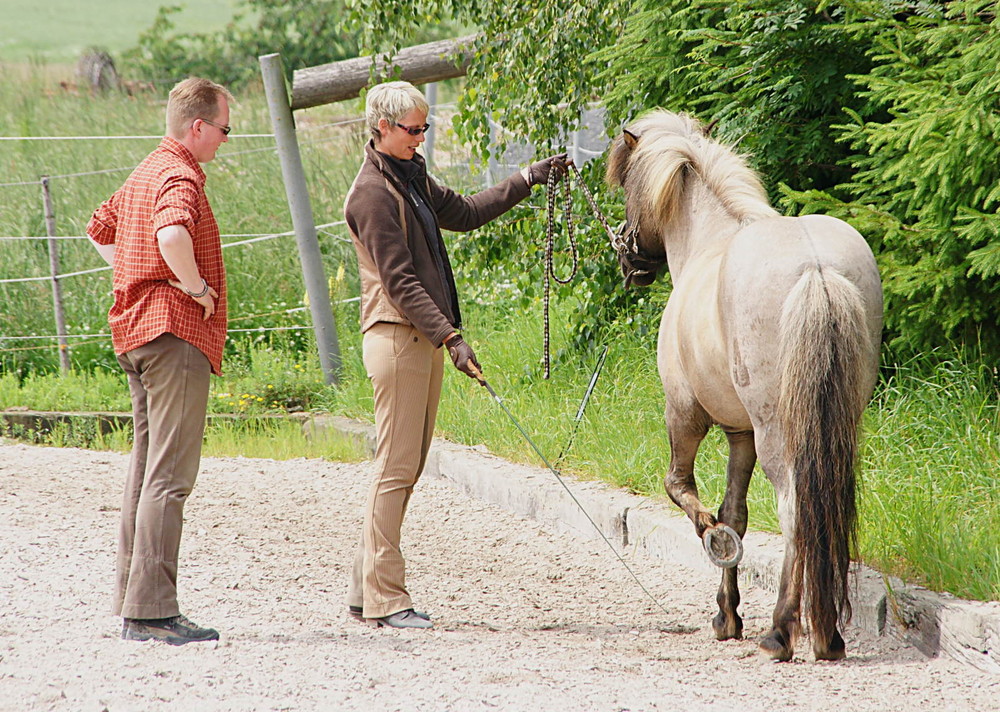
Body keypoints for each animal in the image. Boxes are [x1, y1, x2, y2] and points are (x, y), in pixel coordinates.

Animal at [608, 111, 884, 660]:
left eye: (628, 186)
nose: (628, 256)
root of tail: (817, 270)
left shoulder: (685, 416)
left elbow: (685, 492)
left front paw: (717, 554)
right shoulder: (742, 434)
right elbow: (734, 511)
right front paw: (727, 613)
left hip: (776, 431)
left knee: (795, 509)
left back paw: (782, 630)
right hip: (835, 425)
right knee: (824, 507)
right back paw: (828, 633)